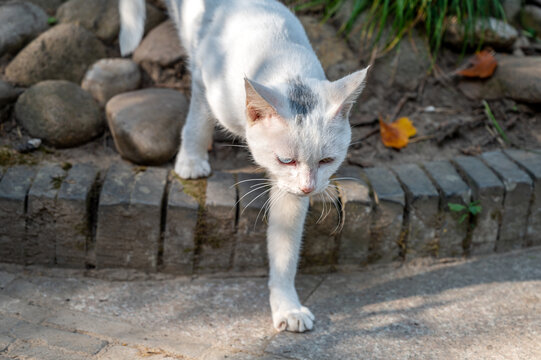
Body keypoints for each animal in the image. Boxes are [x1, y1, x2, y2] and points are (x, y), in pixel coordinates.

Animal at [120, 0, 370, 332]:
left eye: (327, 160)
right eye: (286, 159)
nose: (308, 188)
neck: (277, 59)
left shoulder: (287, 192)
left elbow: (285, 250)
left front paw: (287, 307)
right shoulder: (203, 79)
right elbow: (197, 120)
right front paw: (192, 159)